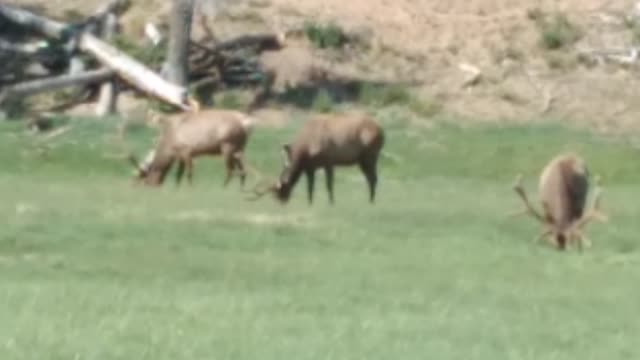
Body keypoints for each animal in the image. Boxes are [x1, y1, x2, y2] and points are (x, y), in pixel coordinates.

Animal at [127, 104, 255, 187]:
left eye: (144, 181)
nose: (151, 187)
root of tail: (247, 122)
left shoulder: (187, 150)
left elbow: (188, 173)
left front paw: (190, 188)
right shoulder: (180, 155)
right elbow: (178, 175)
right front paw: (177, 189)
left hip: (228, 145)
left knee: (230, 170)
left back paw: (223, 188)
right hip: (239, 147)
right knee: (243, 170)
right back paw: (241, 189)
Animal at [248, 114, 382, 205]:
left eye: (279, 190)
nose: (282, 201)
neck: (306, 149)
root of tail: (382, 132)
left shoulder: (329, 160)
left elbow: (329, 185)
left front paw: (331, 203)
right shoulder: (310, 167)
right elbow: (310, 186)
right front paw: (310, 203)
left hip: (370, 155)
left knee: (373, 178)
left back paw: (371, 201)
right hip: (362, 160)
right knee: (370, 178)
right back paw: (370, 200)